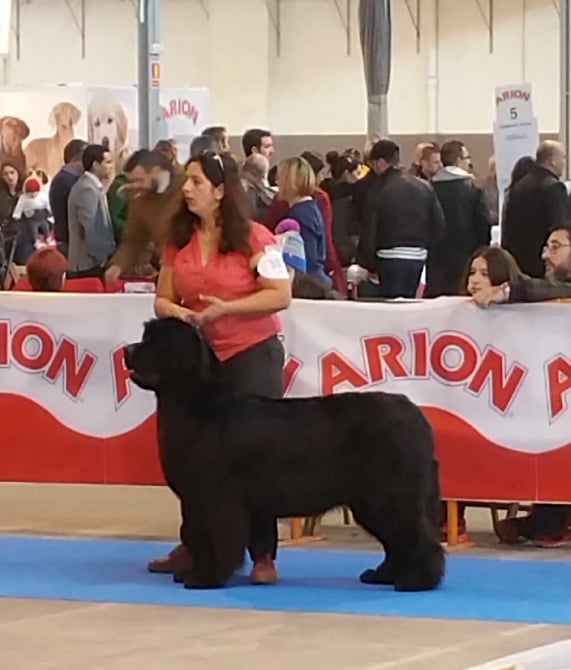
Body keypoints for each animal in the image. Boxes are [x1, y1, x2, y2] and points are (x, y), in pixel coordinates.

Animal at [126, 320, 446, 592]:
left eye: (154, 341)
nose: (127, 350)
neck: (193, 403)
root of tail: (416, 414)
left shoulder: (216, 499)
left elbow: (216, 539)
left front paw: (205, 578)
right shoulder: (195, 500)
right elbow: (198, 538)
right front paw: (193, 573)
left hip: (389, 495)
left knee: (416, 537)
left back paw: (417, 581)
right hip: (372, 500)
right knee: (397, 543)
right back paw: (383, 575)